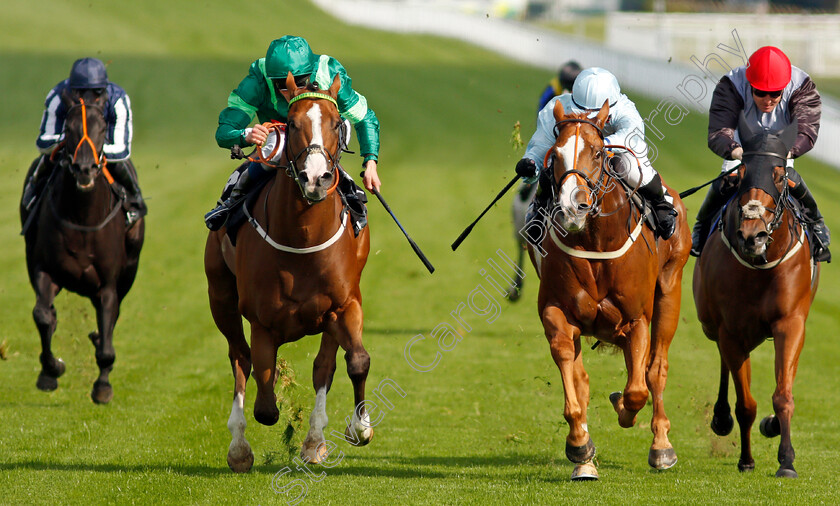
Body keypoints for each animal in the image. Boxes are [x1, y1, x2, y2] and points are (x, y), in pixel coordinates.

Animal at [21, 87, 146, 404]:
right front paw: (51, 371)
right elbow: (42, 316)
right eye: (69, 128)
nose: (85, 168)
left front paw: (102, 386)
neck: (82, 217)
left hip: (129, 271)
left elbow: (107, 342)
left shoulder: (108, 286)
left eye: (103, 128)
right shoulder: (44, 270)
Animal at [203, 73, 370, 472]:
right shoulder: (262, 320)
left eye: (337, 123)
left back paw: (314, 442)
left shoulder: (345, 304)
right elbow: (265, 397)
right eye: (291, 123)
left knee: (324, 365)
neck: (303, 236)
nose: (315, 178)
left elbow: (355, 361)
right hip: (220, 296)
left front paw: (359, 428)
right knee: (240, 357)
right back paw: (239, 448)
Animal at [528, 101, 692, 480]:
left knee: (655, 370)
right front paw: (579, 445)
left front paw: (624, 409)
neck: (595, 242)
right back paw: (585, 461)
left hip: (670, 292)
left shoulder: (636, 319)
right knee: (583, 376)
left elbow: (637, 390)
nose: (572, 207)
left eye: (598, 151)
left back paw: (661, 446)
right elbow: (572, 373)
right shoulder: (556, 311)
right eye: (556, 153)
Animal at [696, 116, 820, 476]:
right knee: (724, 360)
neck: (759, 267)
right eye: (741, 175)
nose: (753, 236)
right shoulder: (731, 330)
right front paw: (746, 458)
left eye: (778, 176)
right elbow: (745, 404)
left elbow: (783, 394)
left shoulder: (790, 322)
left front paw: (786, 459)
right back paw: (721, 417)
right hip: (713, 325)